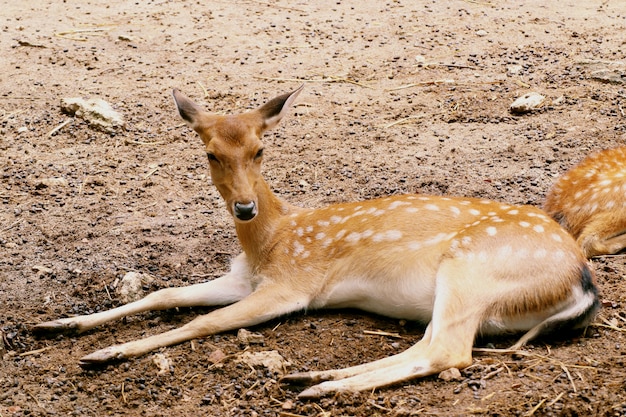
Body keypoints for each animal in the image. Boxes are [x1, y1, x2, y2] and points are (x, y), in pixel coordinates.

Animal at [35, 85, 600, 396]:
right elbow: (165, 293)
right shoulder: (244, 279)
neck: (270, 241)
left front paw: (105, 355)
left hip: (471, 269)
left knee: (447, 351)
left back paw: (322, 388)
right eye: (211, 153)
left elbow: (202, 322)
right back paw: (306, 378)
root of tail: (583, 282)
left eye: (260, 149)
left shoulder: (291, 287)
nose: (245, 207)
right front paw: (58, 325)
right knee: (429, 343)